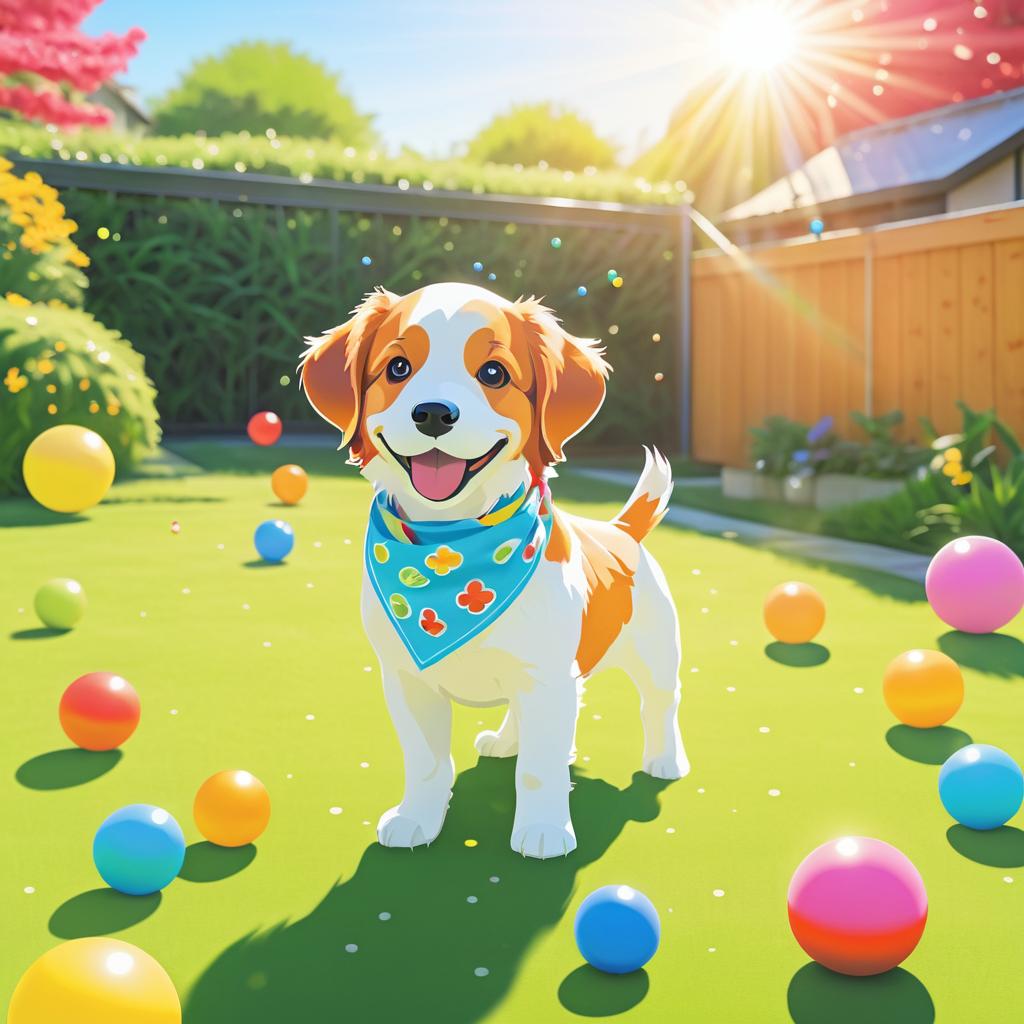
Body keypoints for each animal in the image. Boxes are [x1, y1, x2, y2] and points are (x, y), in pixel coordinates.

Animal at [299, 284, 692, 860]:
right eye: (398, 367)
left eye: (493, 374)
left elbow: (539, 768)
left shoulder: (546, 677)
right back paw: (506, 741)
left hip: (655, 651)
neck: (453, 545)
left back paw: (665, 760)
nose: (433, 413)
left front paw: (545, 830)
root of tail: (622, 529)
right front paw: (417, 819)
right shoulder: (407, 681)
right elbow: (427, 761)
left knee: (660, 704)